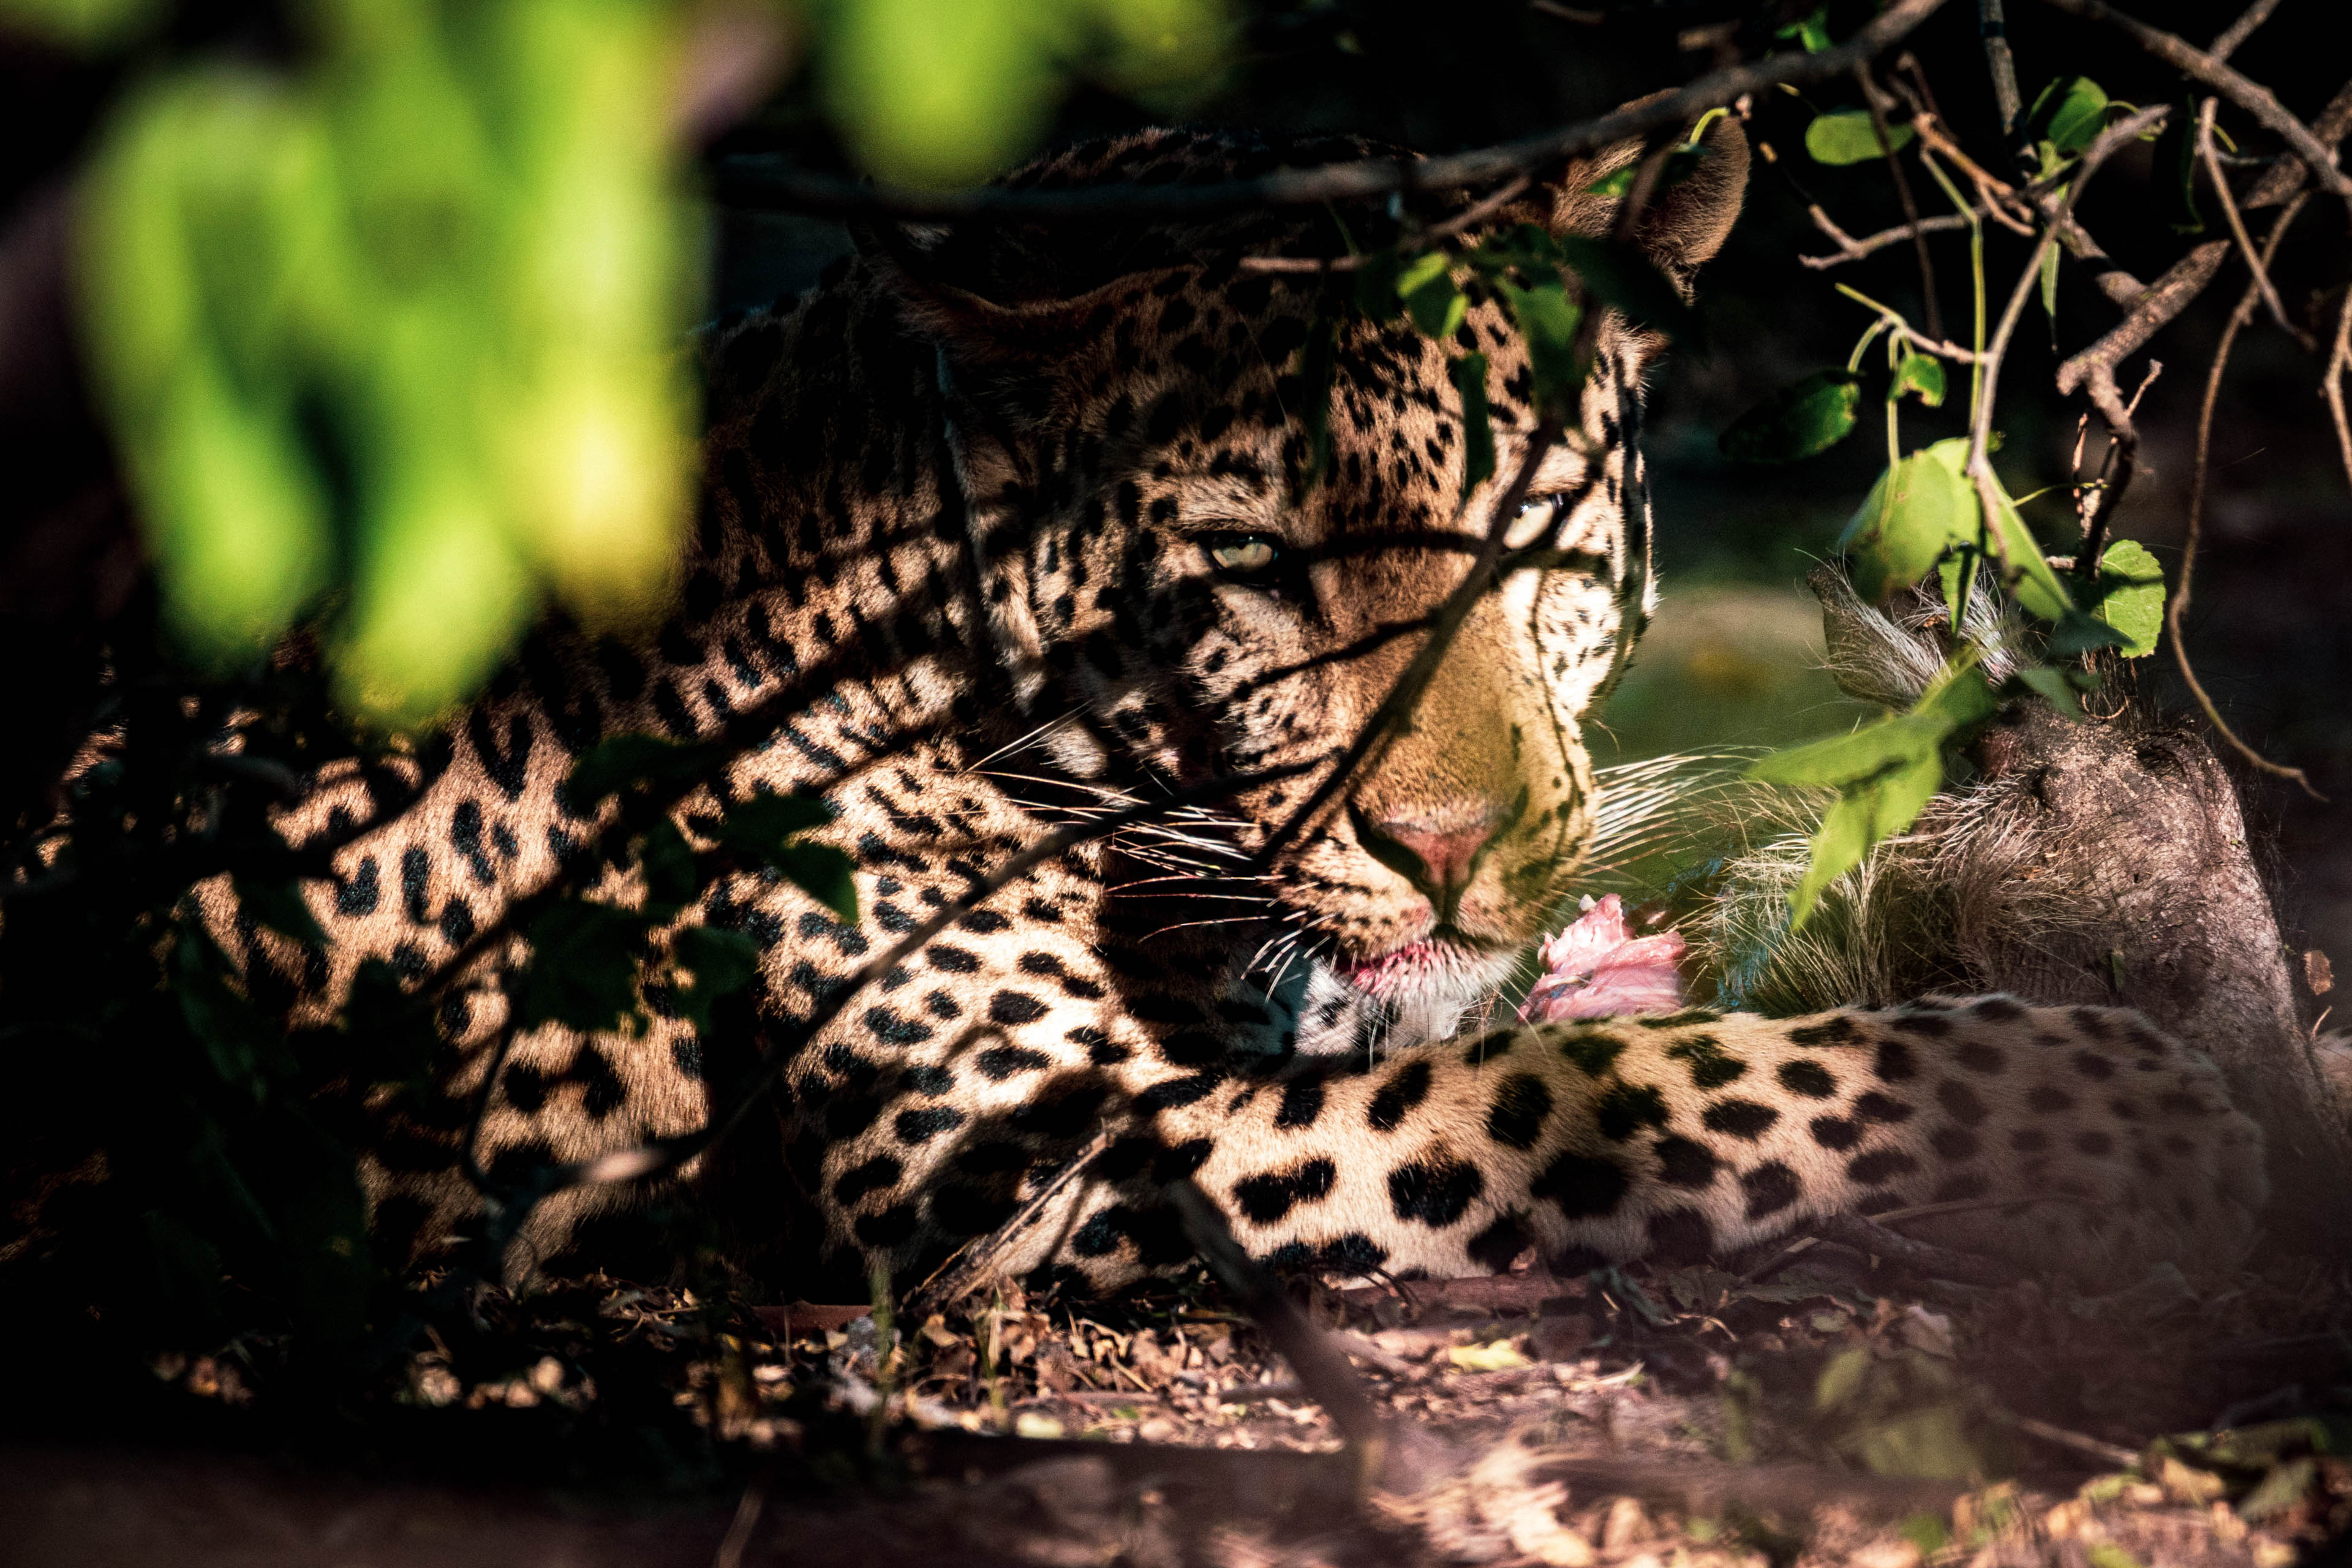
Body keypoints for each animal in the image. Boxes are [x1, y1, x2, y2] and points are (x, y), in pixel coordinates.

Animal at [40, 120, 2268, 1301]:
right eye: (1248, 571)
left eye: (1530, 532)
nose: (1450, 851)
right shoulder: (1034, 1146)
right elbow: (1656, 1089)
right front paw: (2134, 1085)